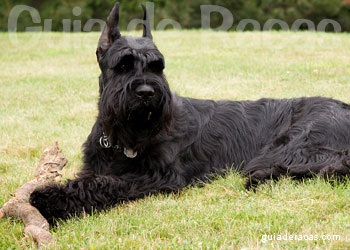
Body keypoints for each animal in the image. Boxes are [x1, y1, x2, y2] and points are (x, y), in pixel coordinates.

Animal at [29, 2, 350, 224]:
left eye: (157, 66)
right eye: (123, 65)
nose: (147, 92)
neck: (122, 138)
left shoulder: (159, 176)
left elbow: (105, 183)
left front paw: (50, 199)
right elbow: (93, 178)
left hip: (290, 148)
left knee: (326, 167)